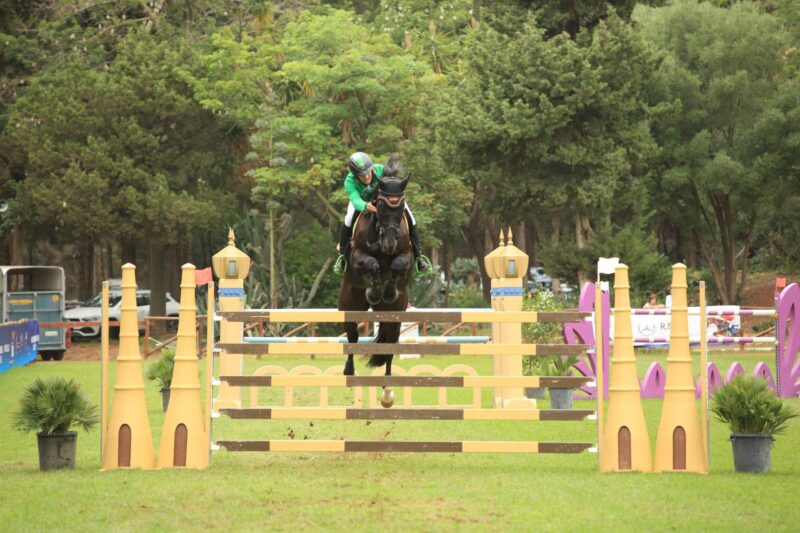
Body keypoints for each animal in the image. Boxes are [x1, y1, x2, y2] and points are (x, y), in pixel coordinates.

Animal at [338, 158, 416, 408]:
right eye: (379, 205)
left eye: (401, 207)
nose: (389, 243)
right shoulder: (357, 257)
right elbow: (371, 264)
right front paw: (374, 290)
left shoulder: (407, 256)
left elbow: (397, 265)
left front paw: (388, 290)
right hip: (350, 306)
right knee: (352, 339)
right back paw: (349, 372)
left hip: (395, 316)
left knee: (389, 346)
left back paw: (388, 393)